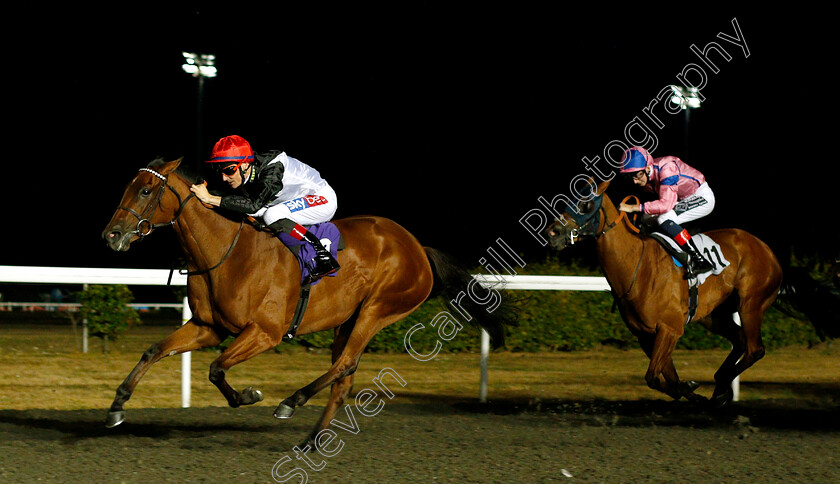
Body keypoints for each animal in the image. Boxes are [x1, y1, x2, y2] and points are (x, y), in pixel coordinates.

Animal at [101, 158, 516, 446]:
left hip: (378, 309)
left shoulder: (265, 332)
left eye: (144, 191)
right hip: (348, 319)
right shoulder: (209, 326)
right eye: (127, 188)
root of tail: (417, 247)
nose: (112, 235)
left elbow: (217, 369)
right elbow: (154, 351)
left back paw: (292, 400)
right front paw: (117, 407)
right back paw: (312, 440)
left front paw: (248, 395)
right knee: (343, 379)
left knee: (345, 364)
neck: (228, 252)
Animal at [544, 180, 780, 406]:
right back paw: (720, 386)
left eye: (585, 204)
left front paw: (689, 388)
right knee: (739, 339)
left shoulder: (670, 328)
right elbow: (667, 376)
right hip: (714, 315)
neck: (637, 267)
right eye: (567, 201)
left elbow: (652, 377)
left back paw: (722, 382)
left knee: (755, 349)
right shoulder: (645, 334)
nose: (553, 233)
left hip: (750, 304)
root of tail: (766, 249)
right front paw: (690, 391)